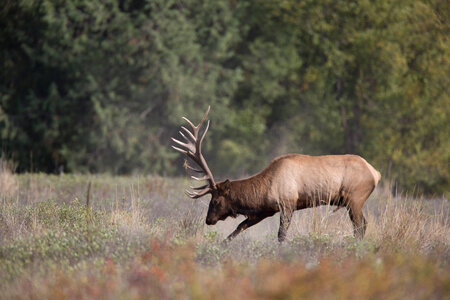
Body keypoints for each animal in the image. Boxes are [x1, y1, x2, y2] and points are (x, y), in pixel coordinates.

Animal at [171, 106, 380, 243]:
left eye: (215, 201)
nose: (208, 220)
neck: (264, 189)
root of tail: (375, 173)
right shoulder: (265, 210)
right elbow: (239, 228)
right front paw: (222, 244)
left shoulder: (287, 204)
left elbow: (281, 236)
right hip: (352, 202)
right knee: (362, 225)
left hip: (355, 198)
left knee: (360, 226)